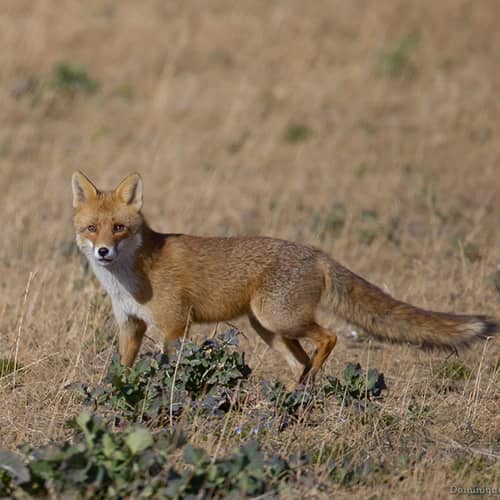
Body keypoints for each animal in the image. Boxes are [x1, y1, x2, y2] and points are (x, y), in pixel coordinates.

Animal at [72, 170, 498, 384]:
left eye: (120, 228)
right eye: (92, 228)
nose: (103, 252)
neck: (130, 281)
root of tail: (316, 252)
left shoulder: (175, 326)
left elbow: (168, 367)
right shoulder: (131, 326)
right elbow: (122, 370)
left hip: (280, 319)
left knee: (329, 338)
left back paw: (308, 384)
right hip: (268, 328)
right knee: (300, 362)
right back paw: (292, 397)